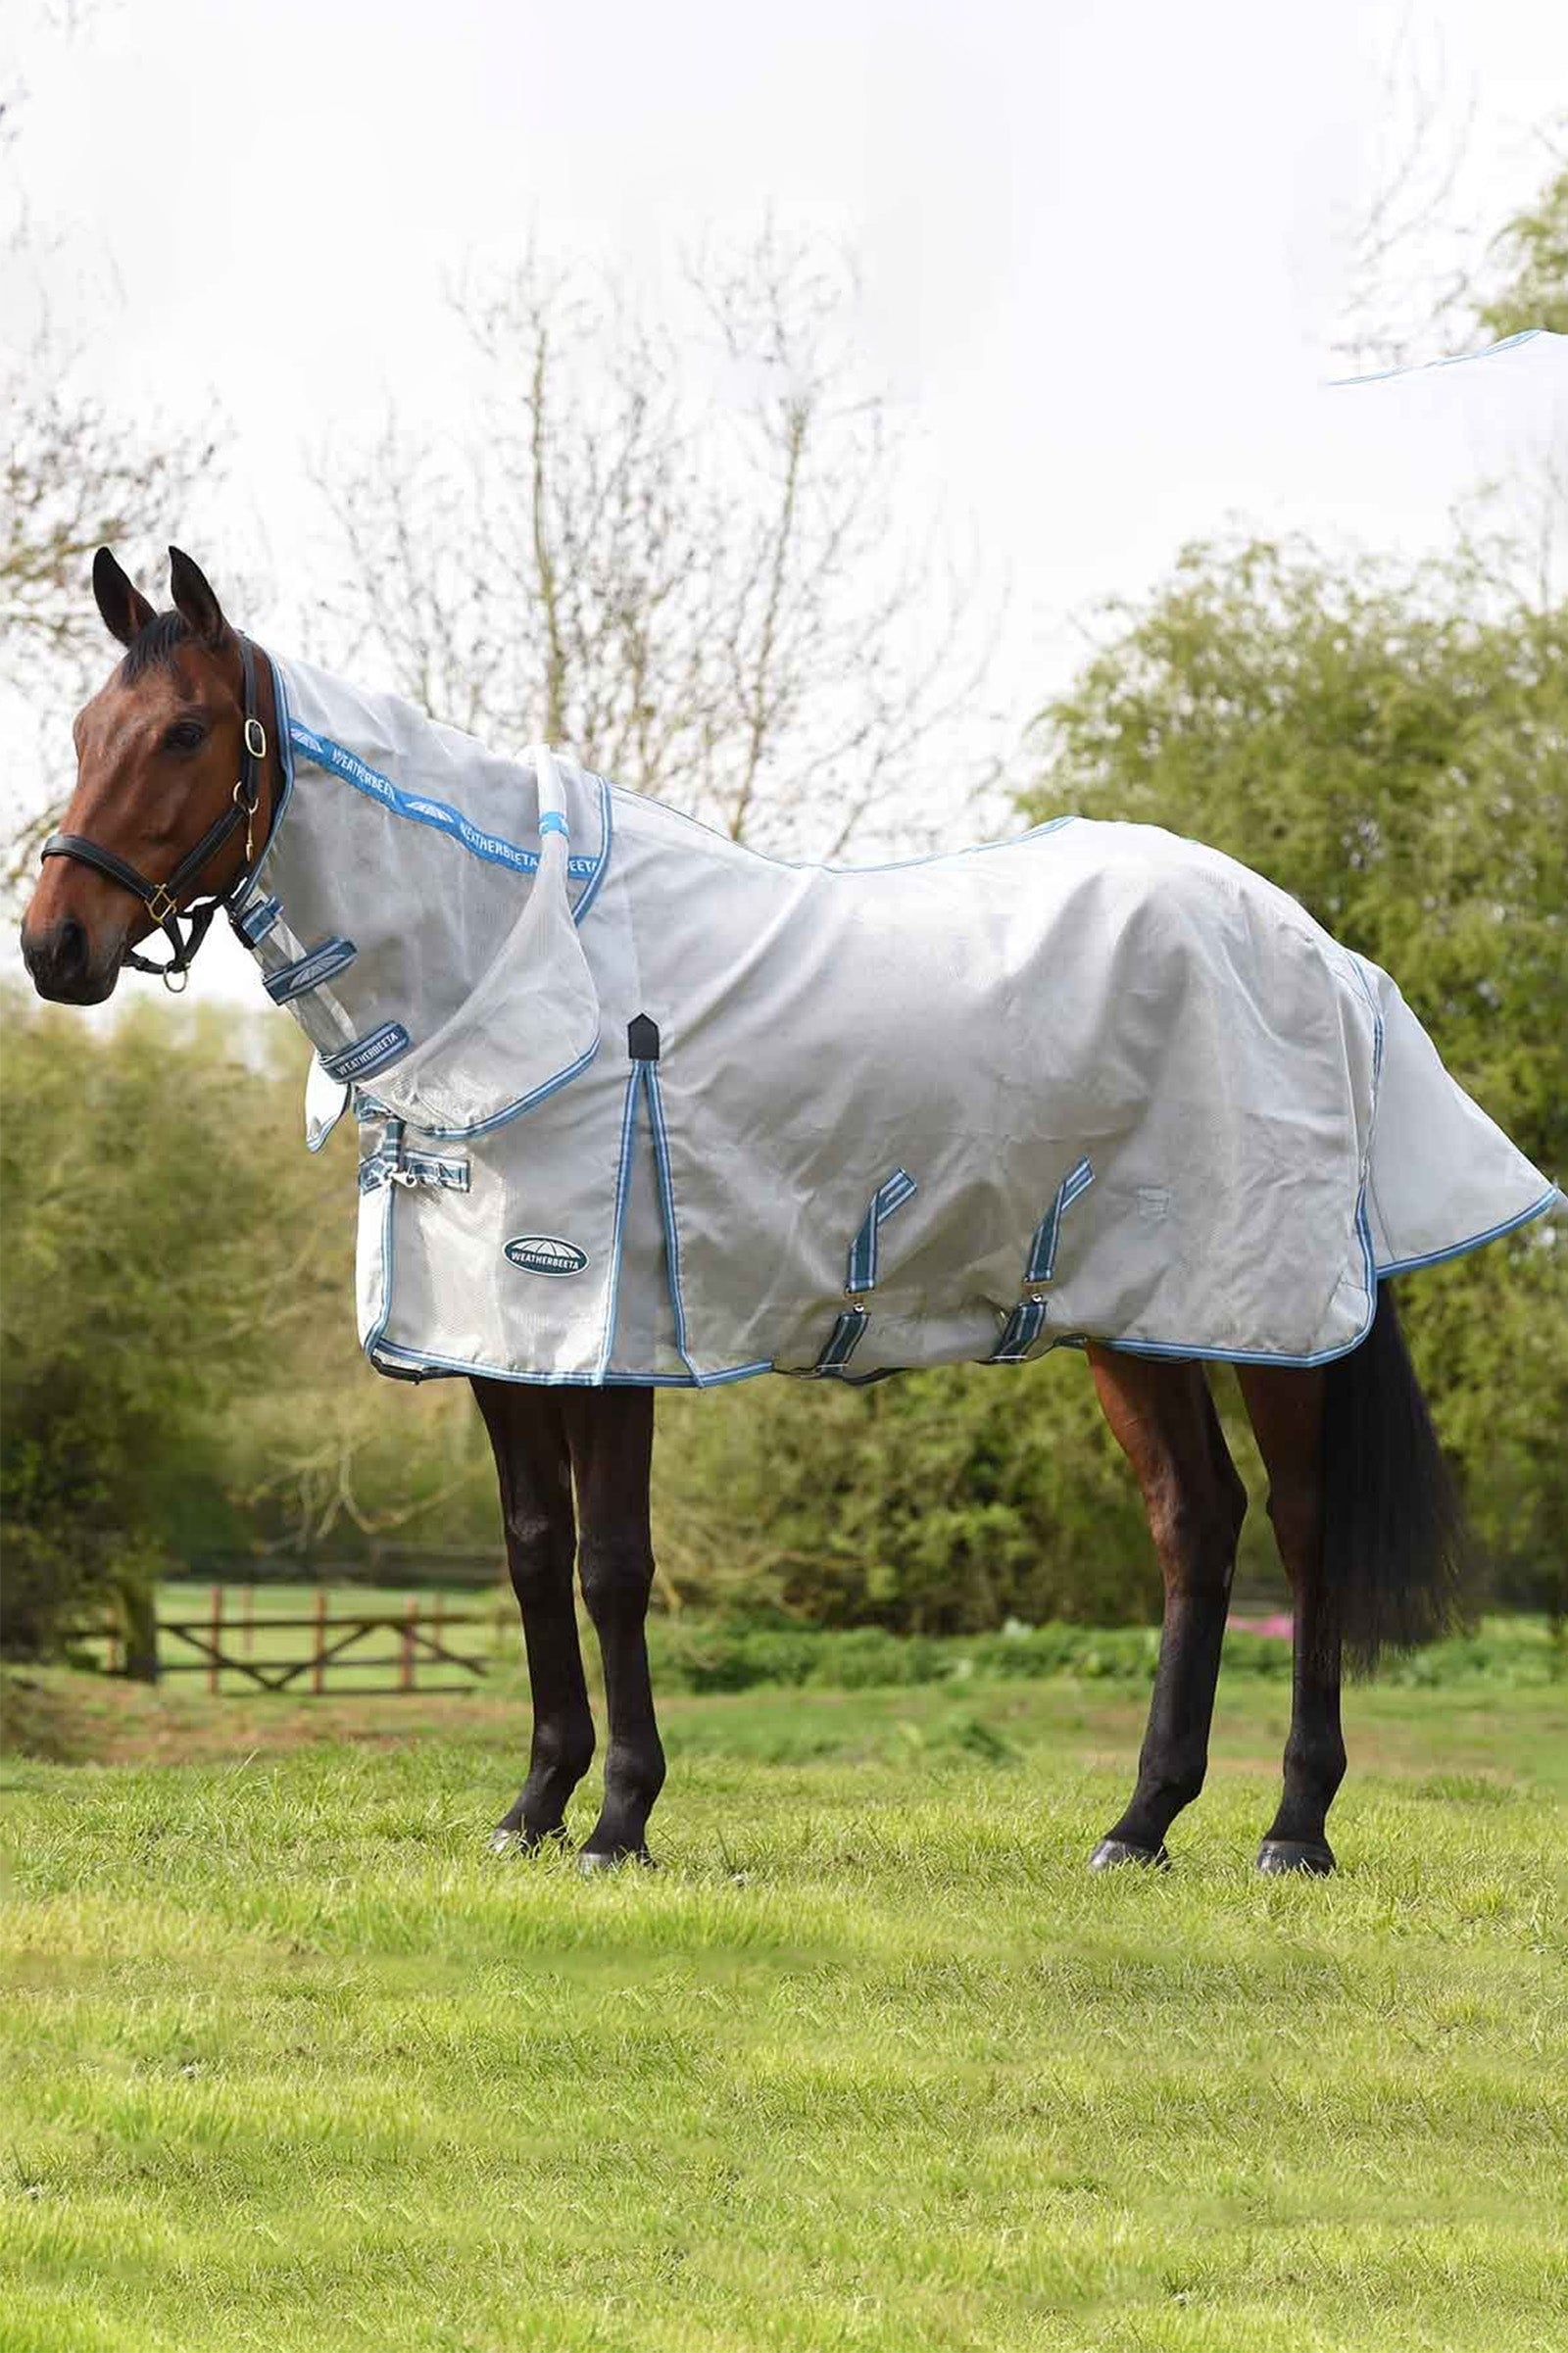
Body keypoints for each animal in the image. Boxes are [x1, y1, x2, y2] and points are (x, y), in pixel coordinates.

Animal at [21, 548, 1557, 1874]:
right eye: (88, 723)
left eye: (184, 731)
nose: (55, 947)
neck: (514, 962)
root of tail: (1315, 949)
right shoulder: (503, 1347)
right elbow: (527, 1559)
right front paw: (532, 1805)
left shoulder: (612, 1340)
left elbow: (611, 1566)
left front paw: (620, 1821)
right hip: (1134, 1315)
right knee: (1198, 1522)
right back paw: (1140, 1823)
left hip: (1273, 1317)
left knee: (1302, 1527)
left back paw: (1294, 1827)